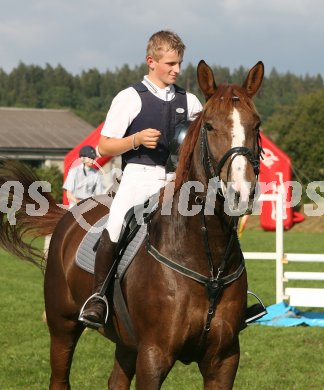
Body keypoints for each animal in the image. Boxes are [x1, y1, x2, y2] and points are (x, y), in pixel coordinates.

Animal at [0, 59, 264, 388]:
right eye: (210, 126)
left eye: (256, 125)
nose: (241, 193)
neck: (208, 260)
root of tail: (67, 215)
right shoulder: (154, 355)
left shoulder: (224, 360)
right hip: (62, 327)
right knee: (59, 376)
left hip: (126, 343)